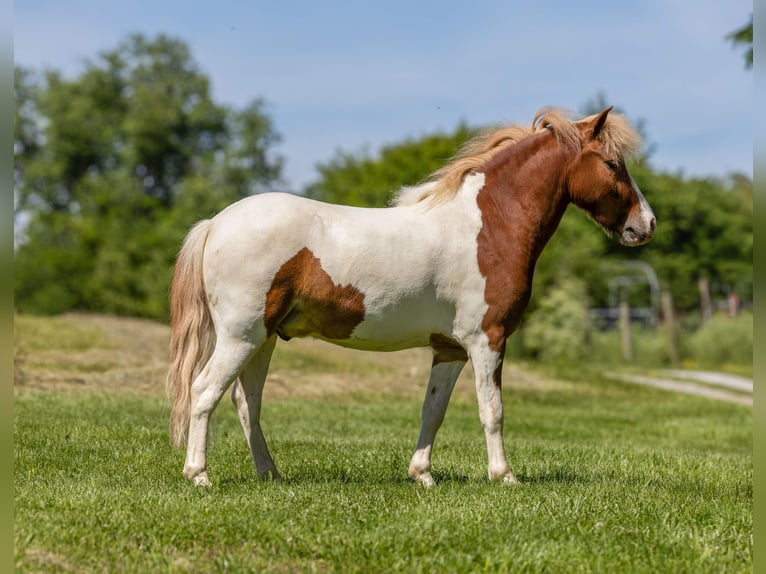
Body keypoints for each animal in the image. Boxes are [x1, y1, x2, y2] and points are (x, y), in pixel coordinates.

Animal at [167, 106, 655, 487]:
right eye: (612, 163)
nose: (646, 224)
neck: (489, 224)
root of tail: (216, 223)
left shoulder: (450, 349)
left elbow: (432, 412)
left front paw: (422, 474)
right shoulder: (487, 340)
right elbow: (492, 410)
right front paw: (504, 476)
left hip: (264, 339)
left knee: (246, 402)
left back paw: (270, 474)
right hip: (241, 337)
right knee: (205, 391)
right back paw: (199, 475)